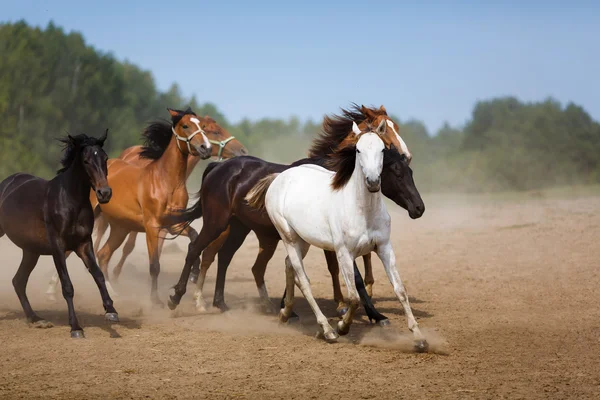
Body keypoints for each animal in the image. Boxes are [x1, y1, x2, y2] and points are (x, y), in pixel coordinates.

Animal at [0, 131, 118, 338]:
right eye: (86, 160)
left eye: (105, 158)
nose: (104, 193)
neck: (70, 201)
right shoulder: (58, 248)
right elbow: (67, 286)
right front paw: (76, 328)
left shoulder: (84, 244)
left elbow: (98, 274)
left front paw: (111, 311)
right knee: (19, 281)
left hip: (31, 251)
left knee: (18, 281)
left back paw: (36, 319)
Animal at [246, 120, 428, 352]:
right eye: (358, 150)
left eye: (382, 150)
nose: (372, 182)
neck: (363, 211)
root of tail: (279, 177)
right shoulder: (344, 253)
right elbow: (354, 296)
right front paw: (342, 326)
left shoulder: (385, 248)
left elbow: (400, 290)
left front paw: (419, 338)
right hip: (288, 237)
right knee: (303, 280)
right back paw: (327, 330)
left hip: (303, 241)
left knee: (289, 266)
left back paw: (285, 313)